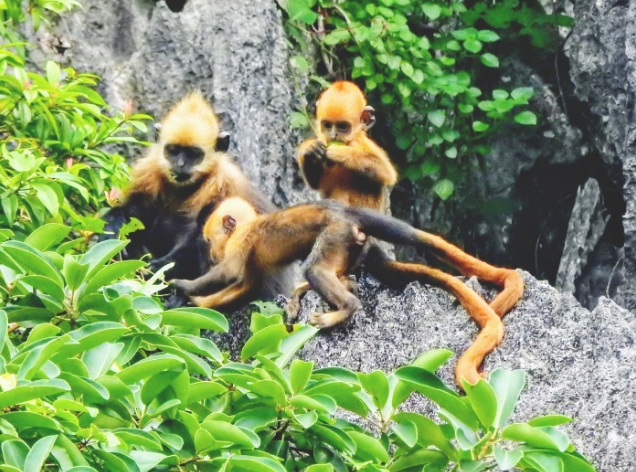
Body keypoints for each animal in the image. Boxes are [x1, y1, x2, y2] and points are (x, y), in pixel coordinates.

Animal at [171, 198, 516, 388]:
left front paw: (181, 288)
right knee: (337, 273)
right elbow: (243, 284)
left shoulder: (242, 238)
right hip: (351, 244)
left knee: (317, 269)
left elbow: (230, 274)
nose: (212, 251)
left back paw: (344, 306)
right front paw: (193, 300)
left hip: (337, 234)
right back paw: (323, 291)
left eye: (212, 239)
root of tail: (348, 214)